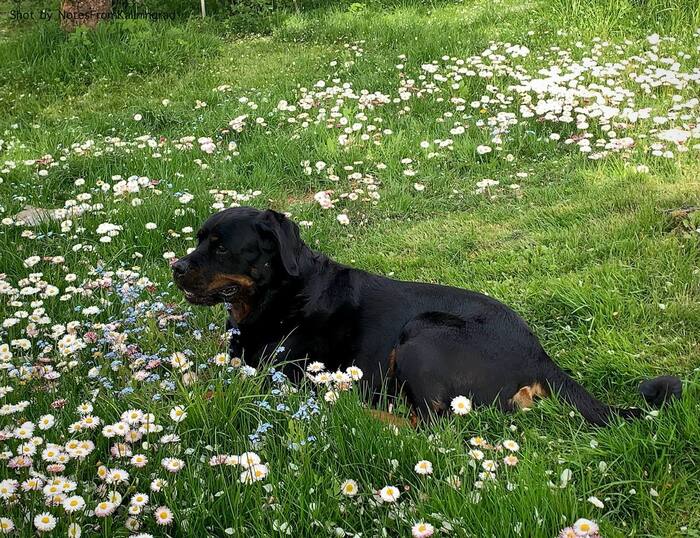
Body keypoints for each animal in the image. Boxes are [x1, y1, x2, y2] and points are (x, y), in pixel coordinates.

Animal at [175, 207, 684, 426]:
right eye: (198, 239)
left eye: (221, 247)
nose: (176, 267)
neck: (279, 296)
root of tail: (539, 355)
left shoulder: (285, 376)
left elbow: (218, 390)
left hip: (421, 334)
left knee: (431, 425)